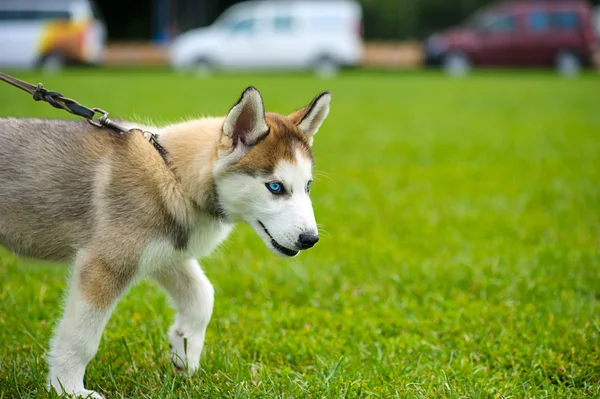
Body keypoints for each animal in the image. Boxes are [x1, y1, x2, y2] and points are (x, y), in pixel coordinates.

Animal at [0, 86, 330, 396]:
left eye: (308, 186)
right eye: (275, 187)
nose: (310, 239)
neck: (174, 175)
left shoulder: (167, 253)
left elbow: (203, 295)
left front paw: (184, 350)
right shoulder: (106, 262)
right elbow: (82, 337)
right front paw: (68, 389)